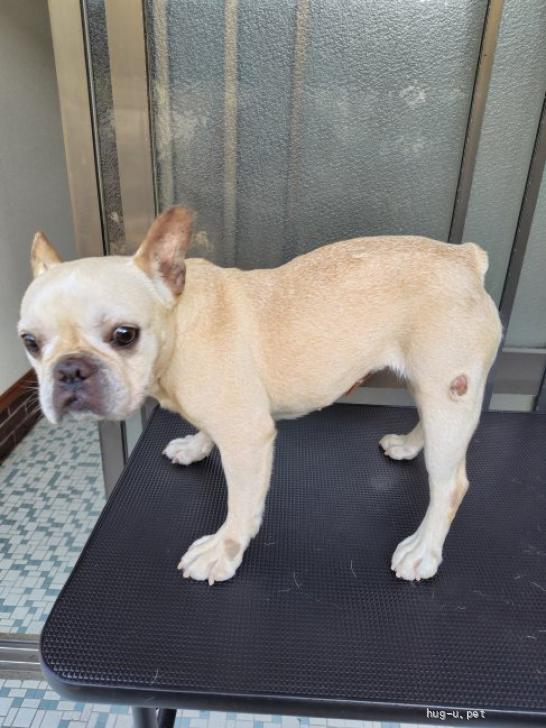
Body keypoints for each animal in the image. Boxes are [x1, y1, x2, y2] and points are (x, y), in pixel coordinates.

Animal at [19, 207, 502, 583]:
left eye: (124, 335)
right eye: (30, 342)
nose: (70, 370)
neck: (179, 320)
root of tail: (465, 258)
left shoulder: (247, 437)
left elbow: (241, 506)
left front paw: (223, 551)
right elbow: (205, 430)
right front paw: (196, 446)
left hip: (449, 391)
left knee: (450, 485)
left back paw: (423, 550)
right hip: (430, 385)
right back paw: (409, 445)